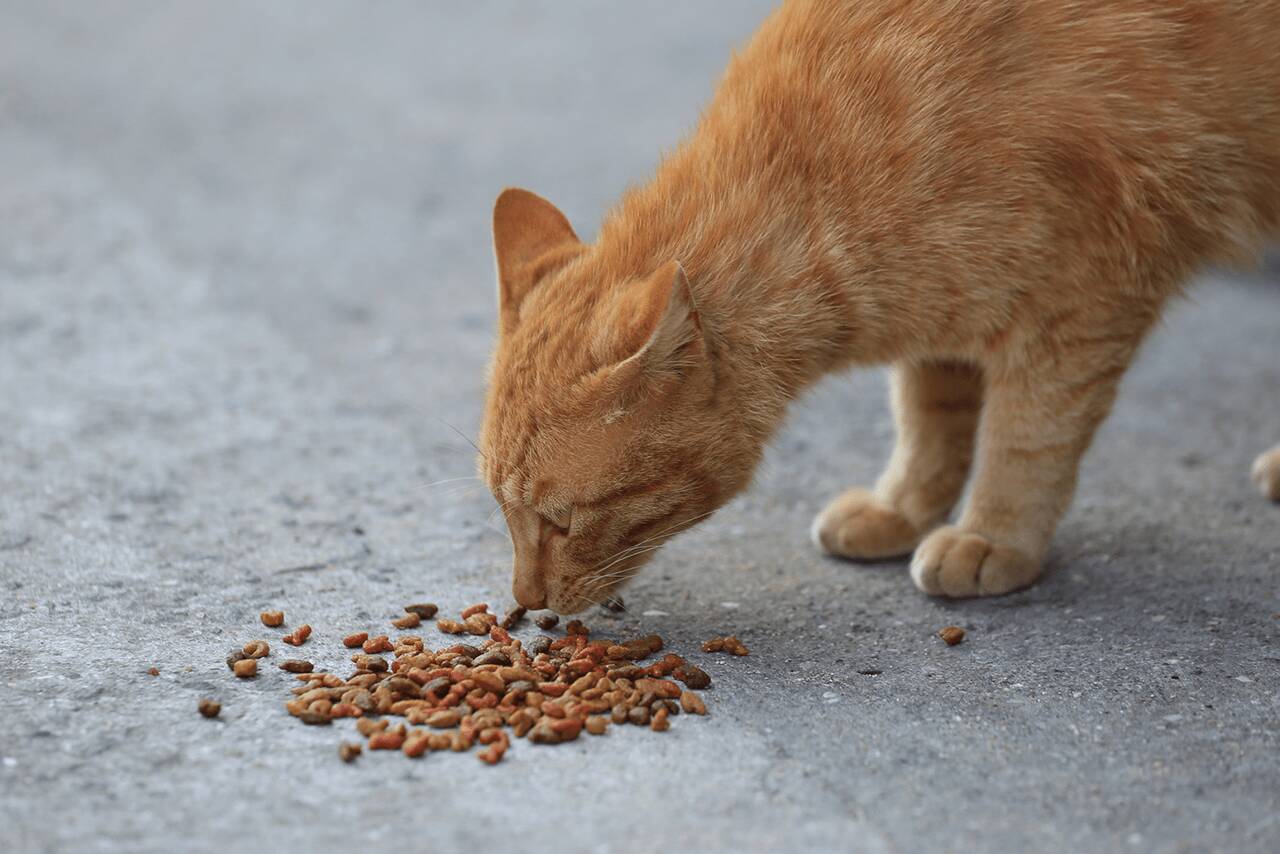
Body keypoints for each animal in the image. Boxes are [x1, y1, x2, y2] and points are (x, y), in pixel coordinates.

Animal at [478, 0, 1280, 614]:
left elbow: (1025, 438)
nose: (526, 603)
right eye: (502, 511)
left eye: (562, 521)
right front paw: (903, 508)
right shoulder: (949, 310)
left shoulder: (1080, 303)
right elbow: (930, 420)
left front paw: (993, 536)